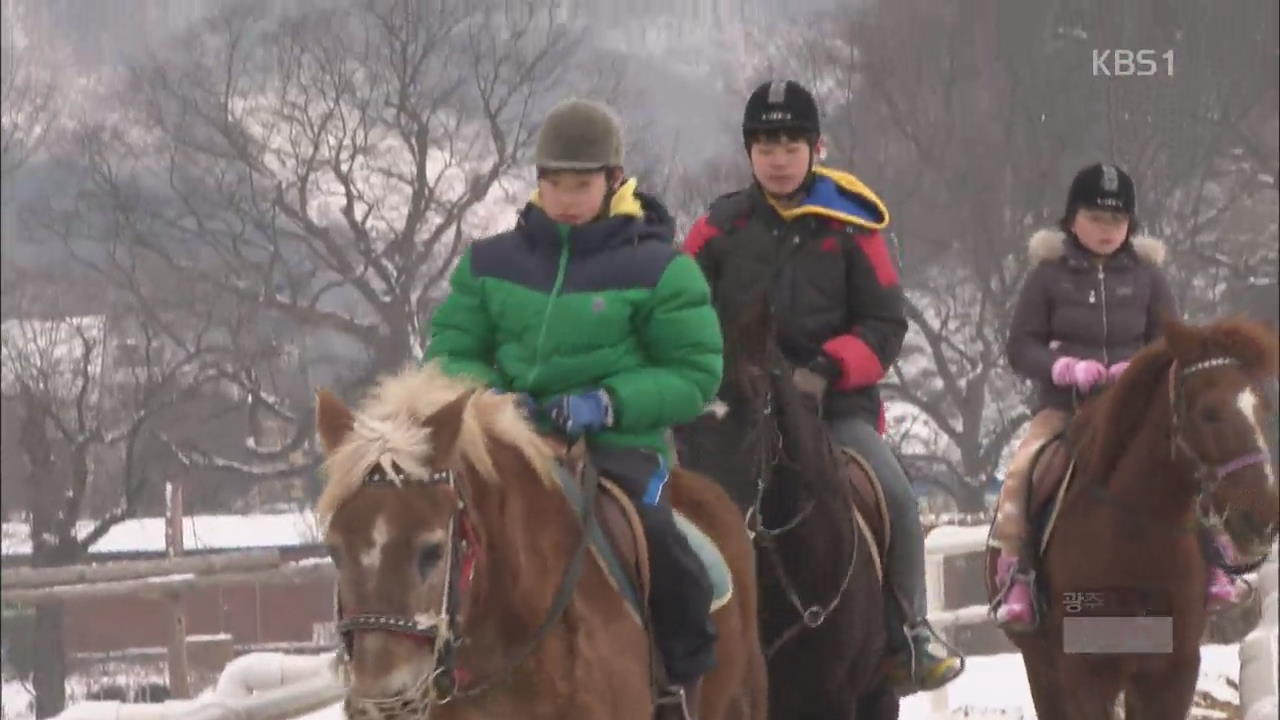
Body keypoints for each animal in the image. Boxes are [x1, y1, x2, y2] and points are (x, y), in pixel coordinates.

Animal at [988, 319, 1280, 717]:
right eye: (1208, 412)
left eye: (1265, 409)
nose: (1262, 517)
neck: (1135, 548)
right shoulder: (1084, 676)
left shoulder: (1173, 673)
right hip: (1041, 668)